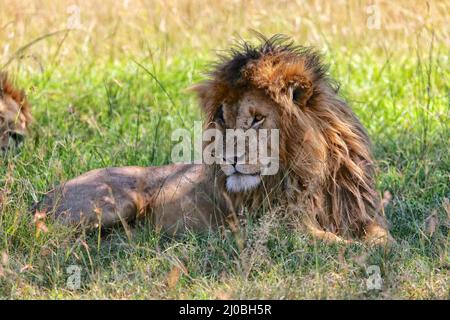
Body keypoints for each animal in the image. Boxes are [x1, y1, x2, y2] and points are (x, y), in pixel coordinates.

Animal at [37, 34, 390, 245]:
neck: (310, 171)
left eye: (257, 118)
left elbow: (381, 239)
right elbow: (337, 243)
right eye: (222, 118)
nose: (226, 158)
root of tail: (43, 196)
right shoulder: (280, 226)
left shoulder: (361, 214)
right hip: (114, 201)